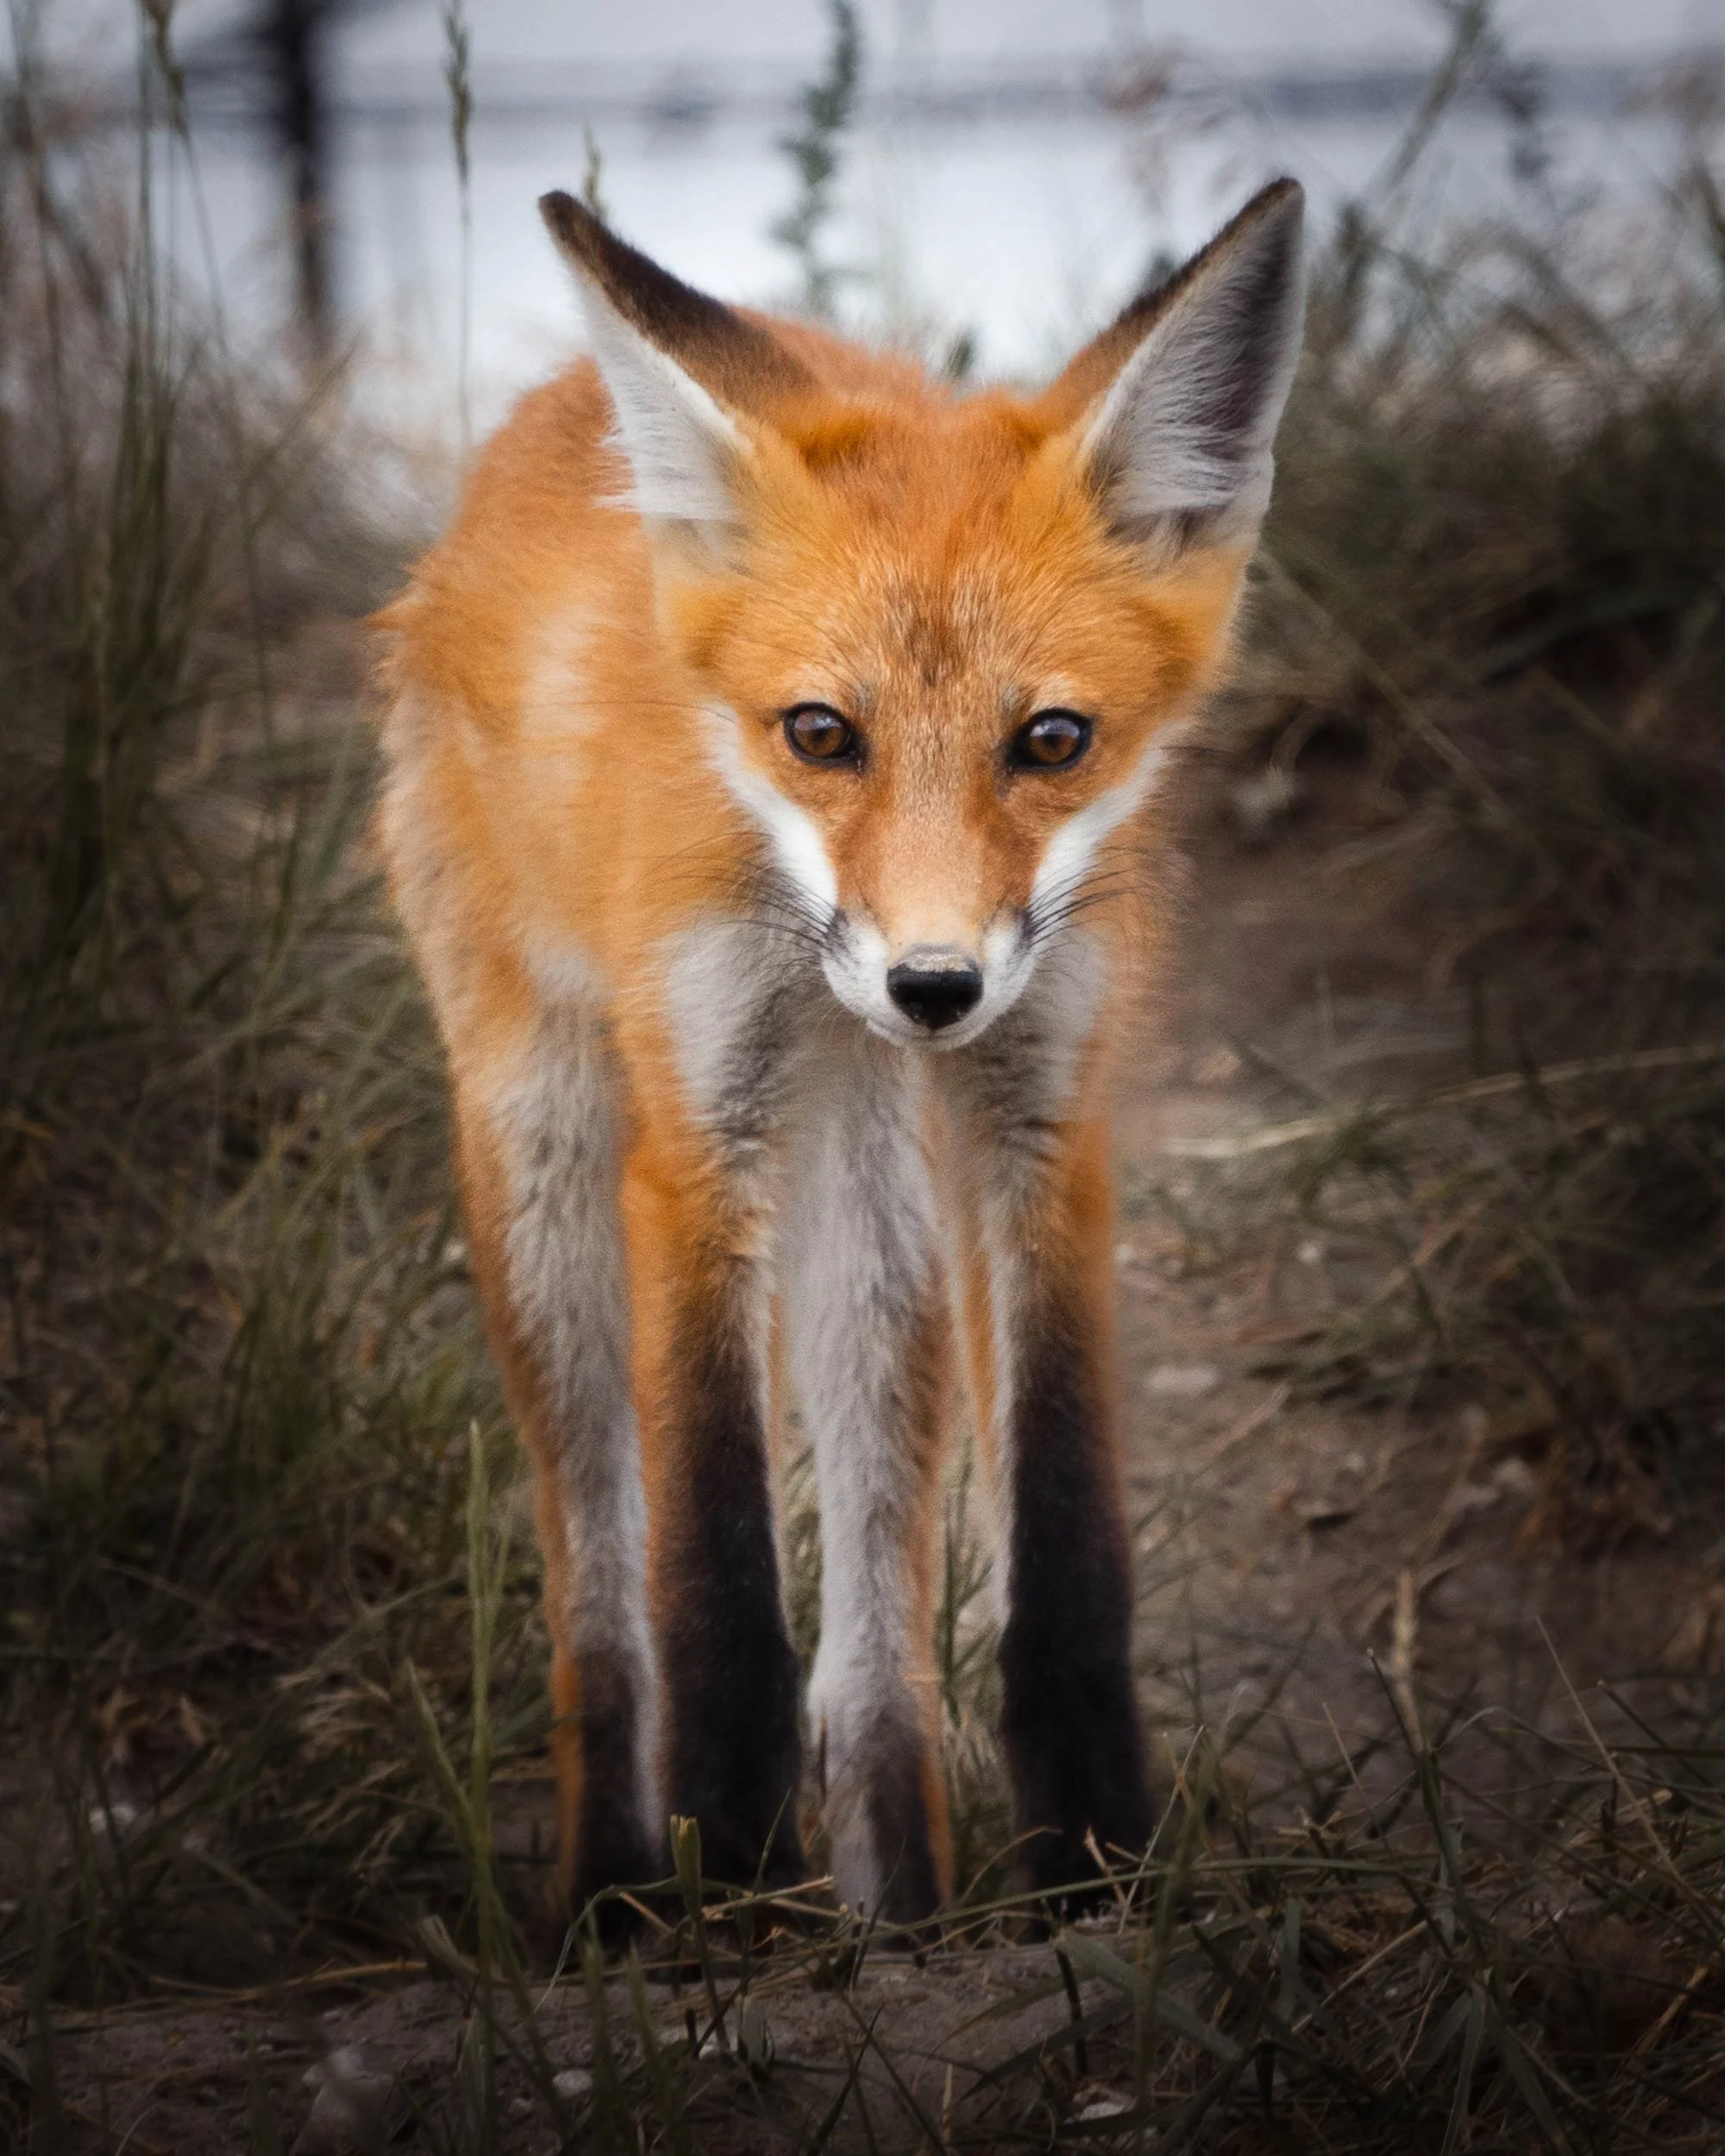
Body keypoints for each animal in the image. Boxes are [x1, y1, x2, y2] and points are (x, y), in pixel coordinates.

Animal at [374, 177, 1306, 1924]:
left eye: (1052, 741)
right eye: (822, 734)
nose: (932, 983)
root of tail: (542, 414)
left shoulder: (1041, 1120)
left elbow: (1068, 1548)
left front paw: (1100, 1863)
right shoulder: (700, 1147)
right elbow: (714, 1579)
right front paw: (732, 1882)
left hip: (877, 1202)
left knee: (877, 1624)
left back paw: (900, 1901)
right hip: (545, 1168)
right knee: (597, 1595)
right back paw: (618, 1896)